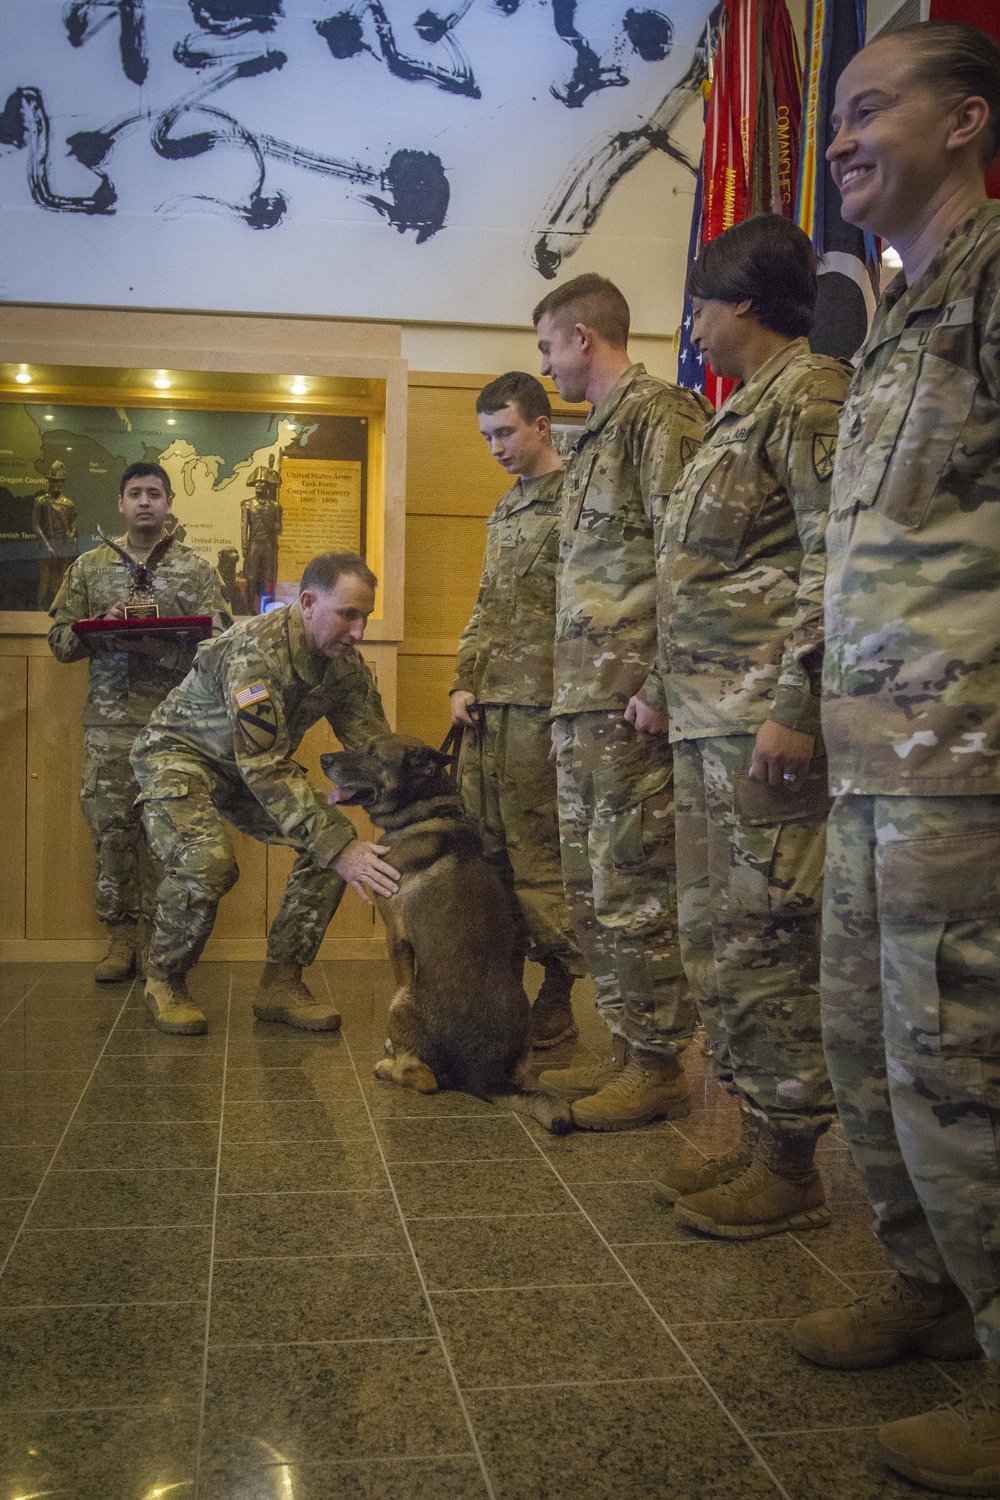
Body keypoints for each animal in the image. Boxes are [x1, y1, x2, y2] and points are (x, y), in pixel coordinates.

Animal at [320, 732, 569, 1128]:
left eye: (373, 754)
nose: (323, 759)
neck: (429, 813)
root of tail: (486, 1076)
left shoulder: (396, 940)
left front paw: (391, 1047)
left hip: (401, 1002)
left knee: (426, 1080)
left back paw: (388, 1067)